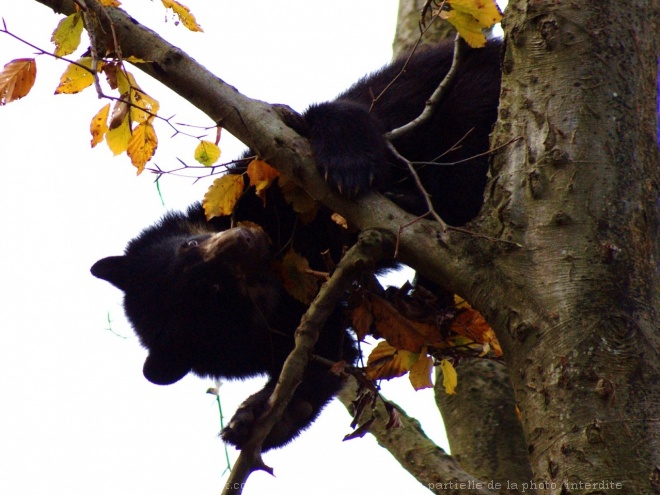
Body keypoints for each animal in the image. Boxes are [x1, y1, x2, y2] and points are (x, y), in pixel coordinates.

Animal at [90, 38, 502, 452]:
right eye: (217, 291)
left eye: (189, 245)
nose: (244, 238)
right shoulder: (294, 316)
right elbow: (323, 355)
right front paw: (251, 420)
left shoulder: (261, 177)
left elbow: (314, 121)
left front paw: (350, 167)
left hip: (471, 91)